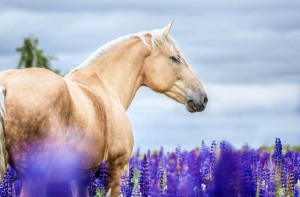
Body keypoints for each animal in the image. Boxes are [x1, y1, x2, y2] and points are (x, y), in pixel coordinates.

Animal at [0, 21, 206, 197]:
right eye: (175, 58)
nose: (202, 97)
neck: (106, 84)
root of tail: (6, 84)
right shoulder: (117, 168)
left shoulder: (81, 177)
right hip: (35, 177)